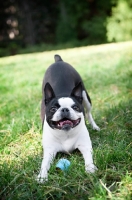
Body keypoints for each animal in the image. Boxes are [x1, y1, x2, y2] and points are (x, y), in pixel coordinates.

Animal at [36, 54, 99, 183]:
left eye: (75, 107)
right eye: (53, 109)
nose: (65, 109)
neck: (65, 133)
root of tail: (58, 61)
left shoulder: (85, 146)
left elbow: (88, 158)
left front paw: (90, 169)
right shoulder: (50, 151)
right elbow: (44, 164)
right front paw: (42, 176)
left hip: (85, 96)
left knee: (89, 113)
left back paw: (95, 126)